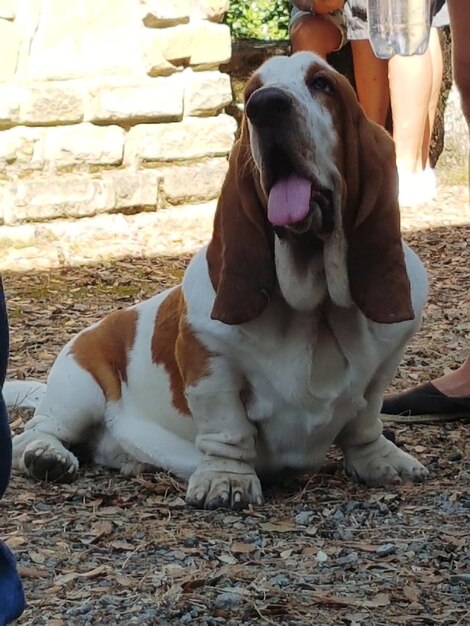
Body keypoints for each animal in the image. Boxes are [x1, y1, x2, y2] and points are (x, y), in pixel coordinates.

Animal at [10, 53, 430, 508]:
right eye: (251, 93)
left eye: (321, 83)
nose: (265, 106)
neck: (315, 305)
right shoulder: (210, 363)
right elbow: (228, 431)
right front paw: (226, 480)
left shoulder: (384, 366)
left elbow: (365, 420)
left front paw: (382, 460)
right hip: (79, 387)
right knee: (36, 433)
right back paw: (47, 457)